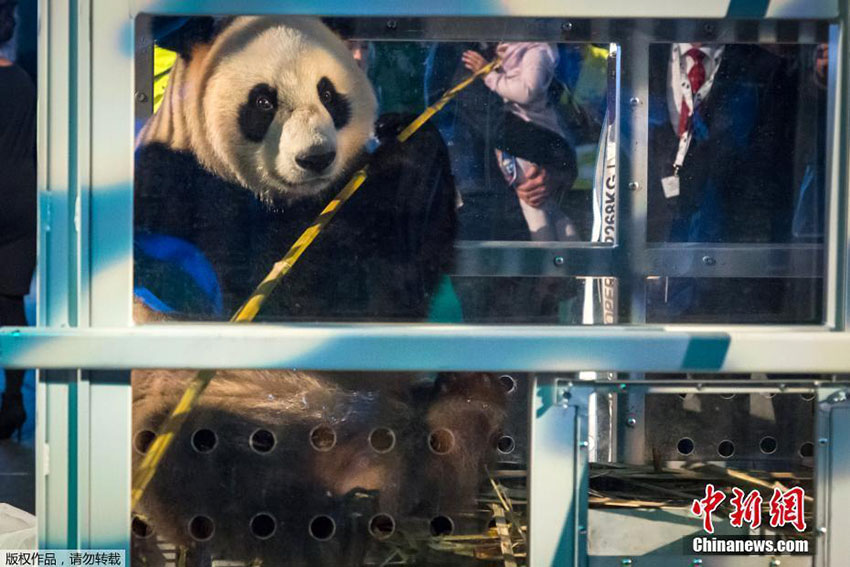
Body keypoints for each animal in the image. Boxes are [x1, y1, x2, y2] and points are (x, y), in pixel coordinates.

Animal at [131, 16, 507, 567]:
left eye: (328, 93)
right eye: (263, 101)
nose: (316, 157)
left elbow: (386, 294)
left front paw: (409, 141)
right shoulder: (176, 190)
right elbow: (294, 298)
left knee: (461, 416)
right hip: (196, 408)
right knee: (216, 467)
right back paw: (339, 525)